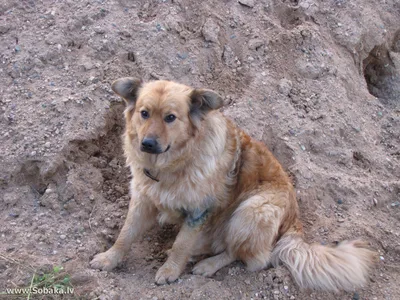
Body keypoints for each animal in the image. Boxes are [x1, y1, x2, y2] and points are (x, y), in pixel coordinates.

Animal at [90, 77, 376, 290]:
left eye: (171, 117)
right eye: (144, 113)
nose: (147, 143)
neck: (172, 165)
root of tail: (295, 221)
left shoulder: (199, 210)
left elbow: (182, 244)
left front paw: (171, 269)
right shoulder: (142, 198)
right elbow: (126, 233)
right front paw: (109, 258)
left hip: (252, 209)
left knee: (250, 256)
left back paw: (207, 263)